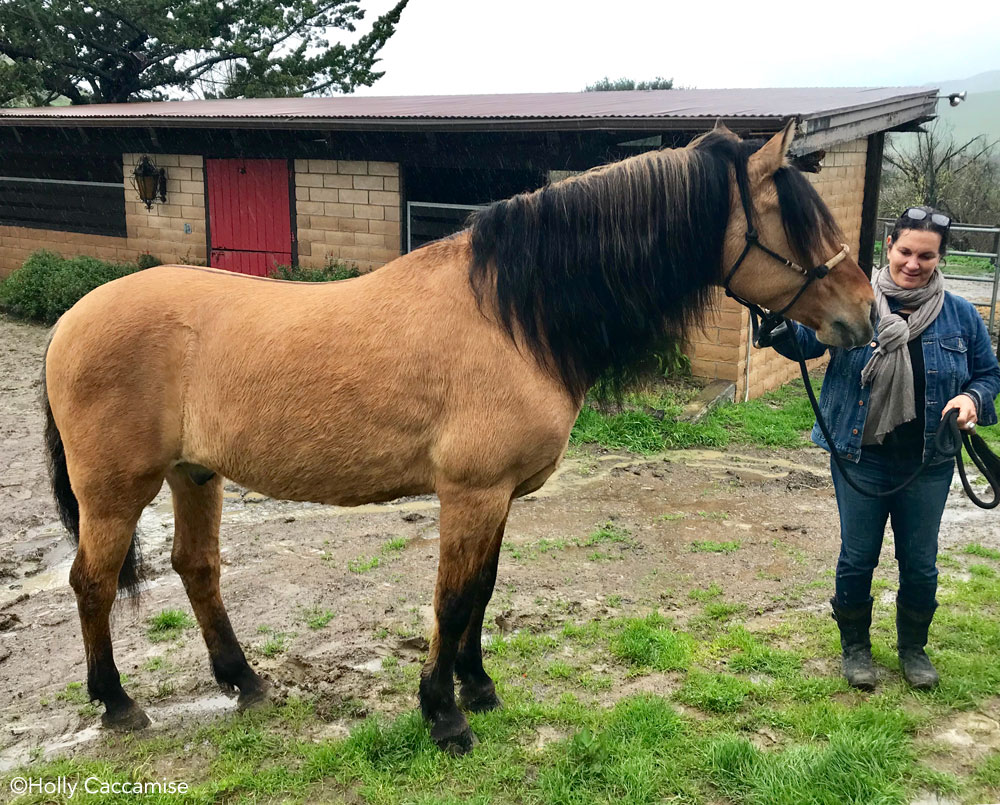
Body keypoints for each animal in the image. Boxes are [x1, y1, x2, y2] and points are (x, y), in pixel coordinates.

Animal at [43, 122, 876, 752]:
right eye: (798, 223)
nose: (866, 314)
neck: (514, 314)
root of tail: (70, 319)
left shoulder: (500, 495)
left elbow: (483, 589)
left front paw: (477, 686)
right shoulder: (471, 491)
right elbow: (451, 597)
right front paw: (443, 714)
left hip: (195, 472)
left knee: (197, 568)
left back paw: (246, 681)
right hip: (116, 488)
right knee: (92, 581)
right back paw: (118, 702)